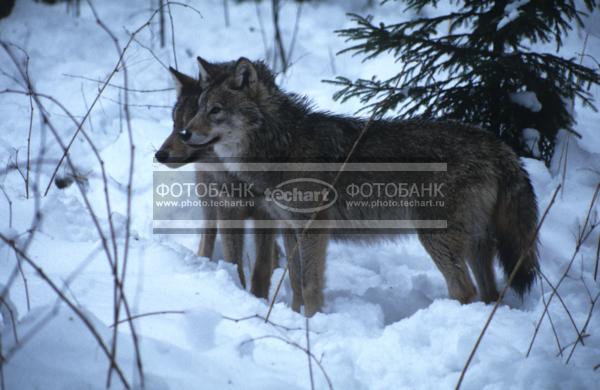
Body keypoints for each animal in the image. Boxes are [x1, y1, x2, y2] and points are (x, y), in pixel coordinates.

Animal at [154, 65, 278, 298]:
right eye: (175, 124)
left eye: (187, 128)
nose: (159, 155)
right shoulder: (228, 209)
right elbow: (234, 262)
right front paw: (238, 289)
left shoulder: (265, 212)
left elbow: (262, 266)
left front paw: (259, 297)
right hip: (208, 197)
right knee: (208, 235)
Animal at [173, 55, 540, 316]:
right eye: (197, 110)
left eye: (215, 110)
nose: (185, 134)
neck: (282, 144)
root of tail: (500, 146)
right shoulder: (289, 227)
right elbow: (295, 284)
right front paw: (296, 321)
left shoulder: (313, 229)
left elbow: (310, 286)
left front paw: (312, 323)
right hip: (475, 246)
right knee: (489, 294)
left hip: (435, 238)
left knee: (465, 292)